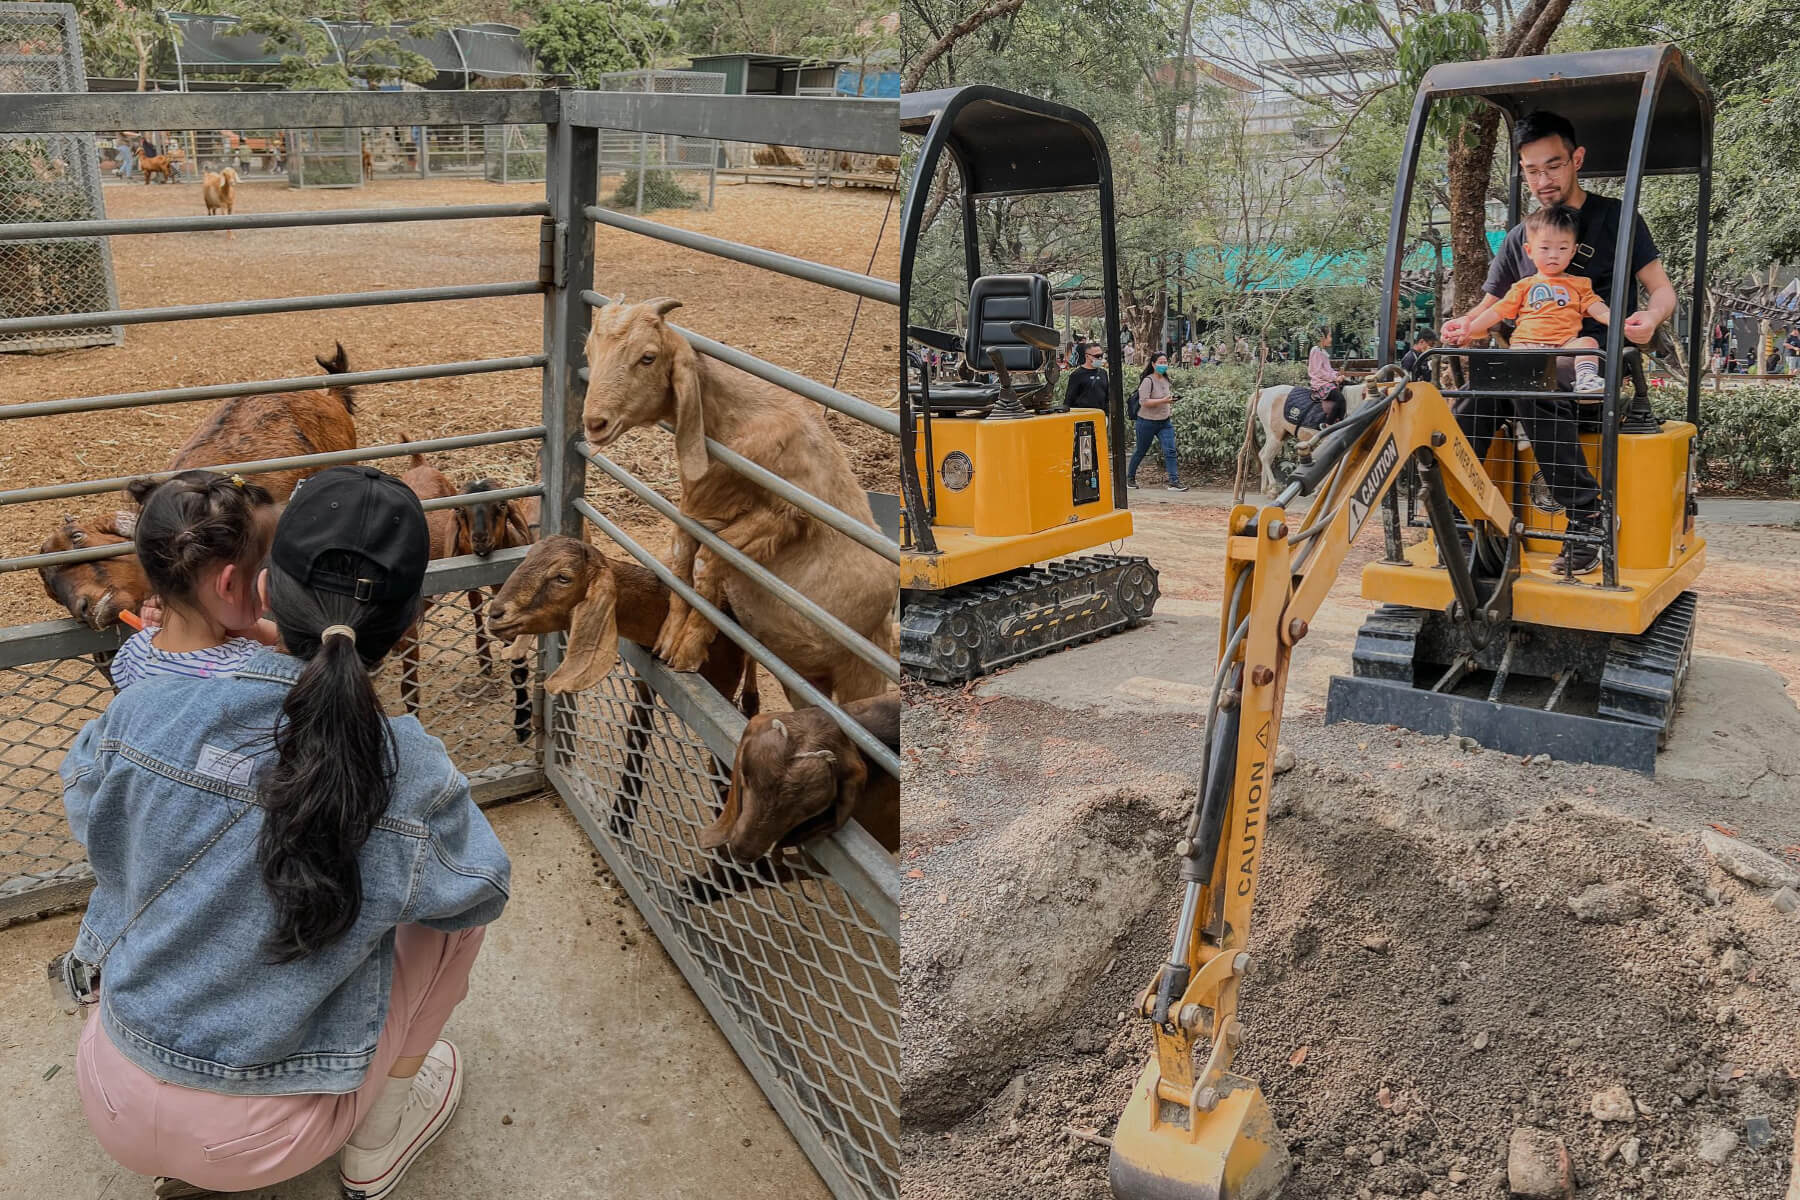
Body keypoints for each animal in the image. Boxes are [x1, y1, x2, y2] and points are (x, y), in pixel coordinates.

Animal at [579, 298, 896, 708]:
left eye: (648, 357)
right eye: (590, 351)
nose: (594, 423)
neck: (739, 417)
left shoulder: (782, 516)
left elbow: (706, 563)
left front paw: (687, 651)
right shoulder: (699, 511)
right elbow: (680, 560)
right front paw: (667, 638)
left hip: (863, 674)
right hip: (806, 681)